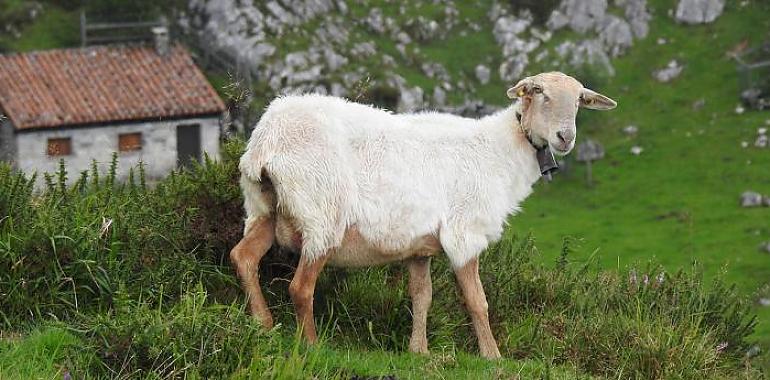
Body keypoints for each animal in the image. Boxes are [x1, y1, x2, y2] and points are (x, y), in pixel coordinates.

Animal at [231, 72, 616, 360]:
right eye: (539, 92)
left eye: (580, 100)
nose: (565, 137)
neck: (501, 151)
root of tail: (266, 141)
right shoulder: (464, 235)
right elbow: (477, 301)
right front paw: (492, 356)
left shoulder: (419, 246)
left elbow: (422, 296)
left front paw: (419, 350)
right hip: (321, 214)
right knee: (300, 287)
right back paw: (312, 346)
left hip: (263, 208)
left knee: (243, 257)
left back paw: (263, 324)